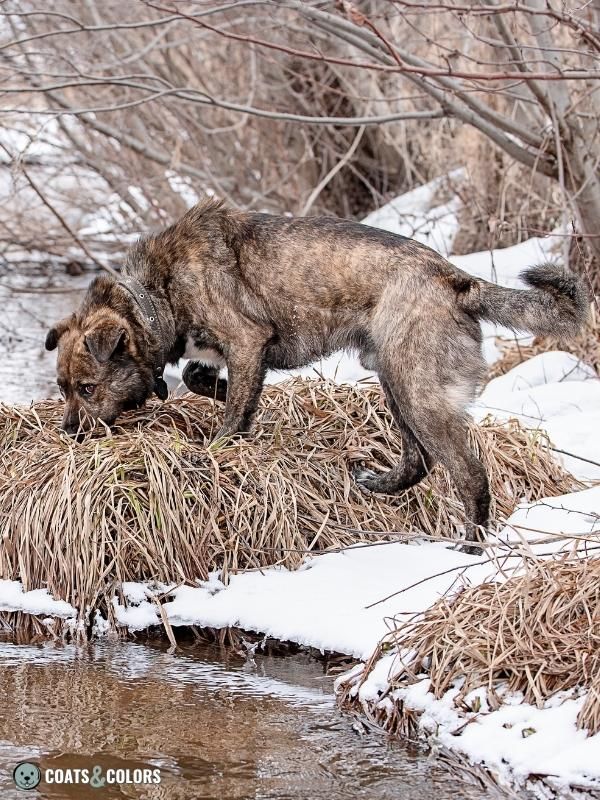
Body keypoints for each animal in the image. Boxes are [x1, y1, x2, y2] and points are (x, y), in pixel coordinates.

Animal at [45, 200, 584, 552]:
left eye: (88, 388)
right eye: (62, 389)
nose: (68, 433)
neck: (153, 295)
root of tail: (456, 279)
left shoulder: (246, 340)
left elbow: (231, 413)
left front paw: (218, 445)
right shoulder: (228, 353)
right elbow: (207, 380)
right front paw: (229, 397)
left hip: (416, 390)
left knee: (468, 473)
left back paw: (470, 549)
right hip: (395, 382)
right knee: (419, 461)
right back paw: (378, 483)